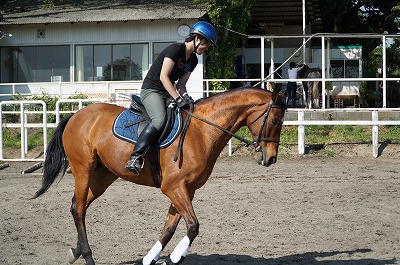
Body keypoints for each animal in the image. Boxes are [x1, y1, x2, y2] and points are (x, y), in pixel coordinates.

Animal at [32, 87, 286, 264]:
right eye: (275, 120)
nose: (271, 159)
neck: (201, 131)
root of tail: (76, 115)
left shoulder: (185, 190)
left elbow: (170, 228)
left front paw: (151, 259)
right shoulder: (173, 187)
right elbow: (193, 226)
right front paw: (175, 257)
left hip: (102, 177)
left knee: (80, 206)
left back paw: (75, 252)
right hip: (83, 169)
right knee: (78, 208)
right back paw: (87, 256)